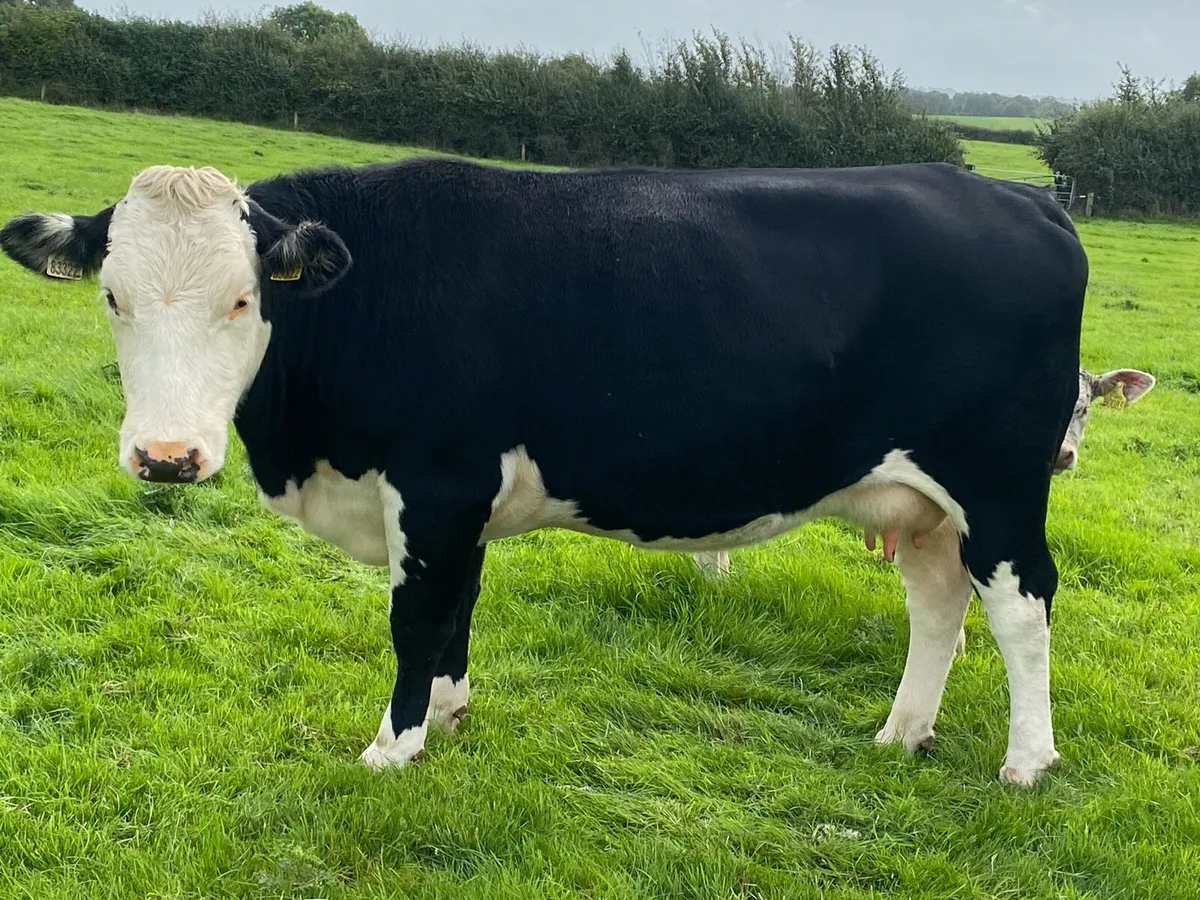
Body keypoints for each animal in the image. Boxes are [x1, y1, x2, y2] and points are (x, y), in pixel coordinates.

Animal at [1, 157, 1090, 786]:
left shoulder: (437, 482)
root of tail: (1020, 197)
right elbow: (456, 612)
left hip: (999, 485)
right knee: (939, 604)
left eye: (241, 299)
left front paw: (392, 747)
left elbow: (416, 618)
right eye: (111, 296)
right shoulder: (458, 503)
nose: (167, 457)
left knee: (1022, 607)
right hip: (926, 502)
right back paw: (902, 734)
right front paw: (446, 714)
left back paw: (1028, 761)